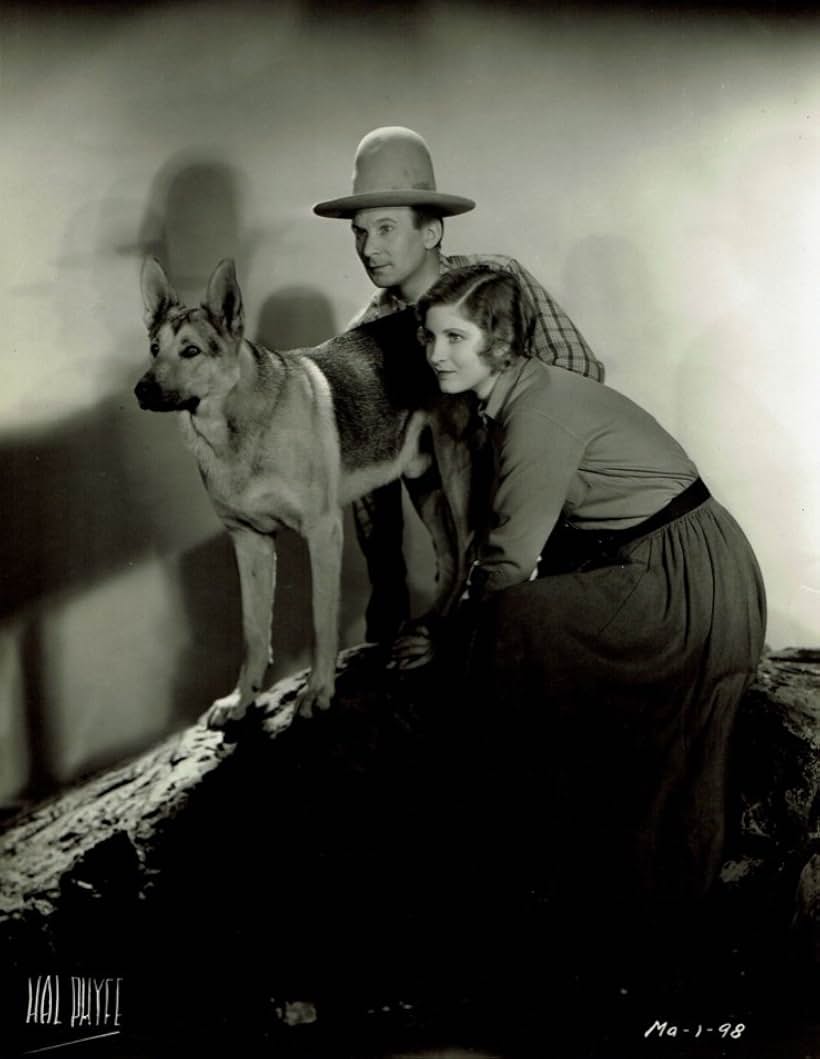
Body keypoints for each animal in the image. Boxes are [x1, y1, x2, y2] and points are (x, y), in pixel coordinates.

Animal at [134, 260, 468, 732]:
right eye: (154, 348)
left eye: (191, 351)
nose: (141, 390)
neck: (235, 428)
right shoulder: (250, 542)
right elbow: (254, 630)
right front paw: (242, 698)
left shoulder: (322, 533)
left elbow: (320, 620)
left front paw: (318, 691)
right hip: (425, 485)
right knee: (450, 558)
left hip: (459, 474)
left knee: (472, 548)